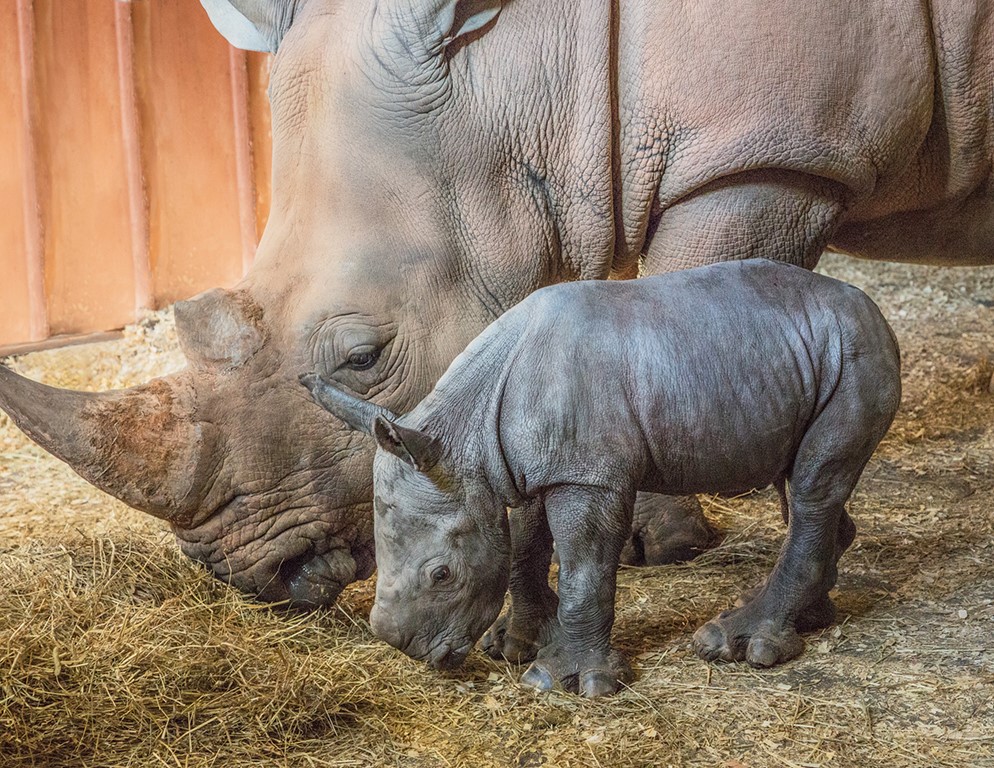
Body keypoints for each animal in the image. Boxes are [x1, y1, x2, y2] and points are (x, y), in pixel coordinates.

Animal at [0, 0, 989, 607]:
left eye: (364, 358)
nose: (246, 573)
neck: (530, 65)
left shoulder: (769, 155)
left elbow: (694, 310)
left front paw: (658, 542)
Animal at [302, 260, 902, 696]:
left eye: (442, 575)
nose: (409, 650)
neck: (463, 438)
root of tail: (872, 309)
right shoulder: (531, 467)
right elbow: (524, 547)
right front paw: (519, 645)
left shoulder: (588, 476)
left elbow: (584, 568)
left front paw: (565, 680)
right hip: (802, 359)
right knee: (798, 485)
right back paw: (811, 618)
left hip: (855, 355)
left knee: (811, 490)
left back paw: (738, 644)